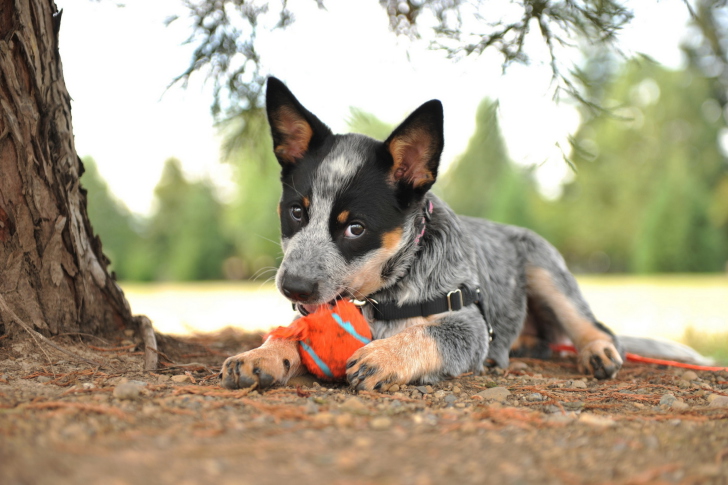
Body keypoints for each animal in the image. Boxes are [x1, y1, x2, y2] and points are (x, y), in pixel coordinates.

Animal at [219, 77, 624, 392]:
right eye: (297, 212)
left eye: (355, 228)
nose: (294, 287)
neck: (384, 296)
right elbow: (291, 331)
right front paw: (262, 354)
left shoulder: (470, 326)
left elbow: (429, 334)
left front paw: (385, 356)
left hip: (545, 271)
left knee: (595, 325)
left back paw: (598, 351)